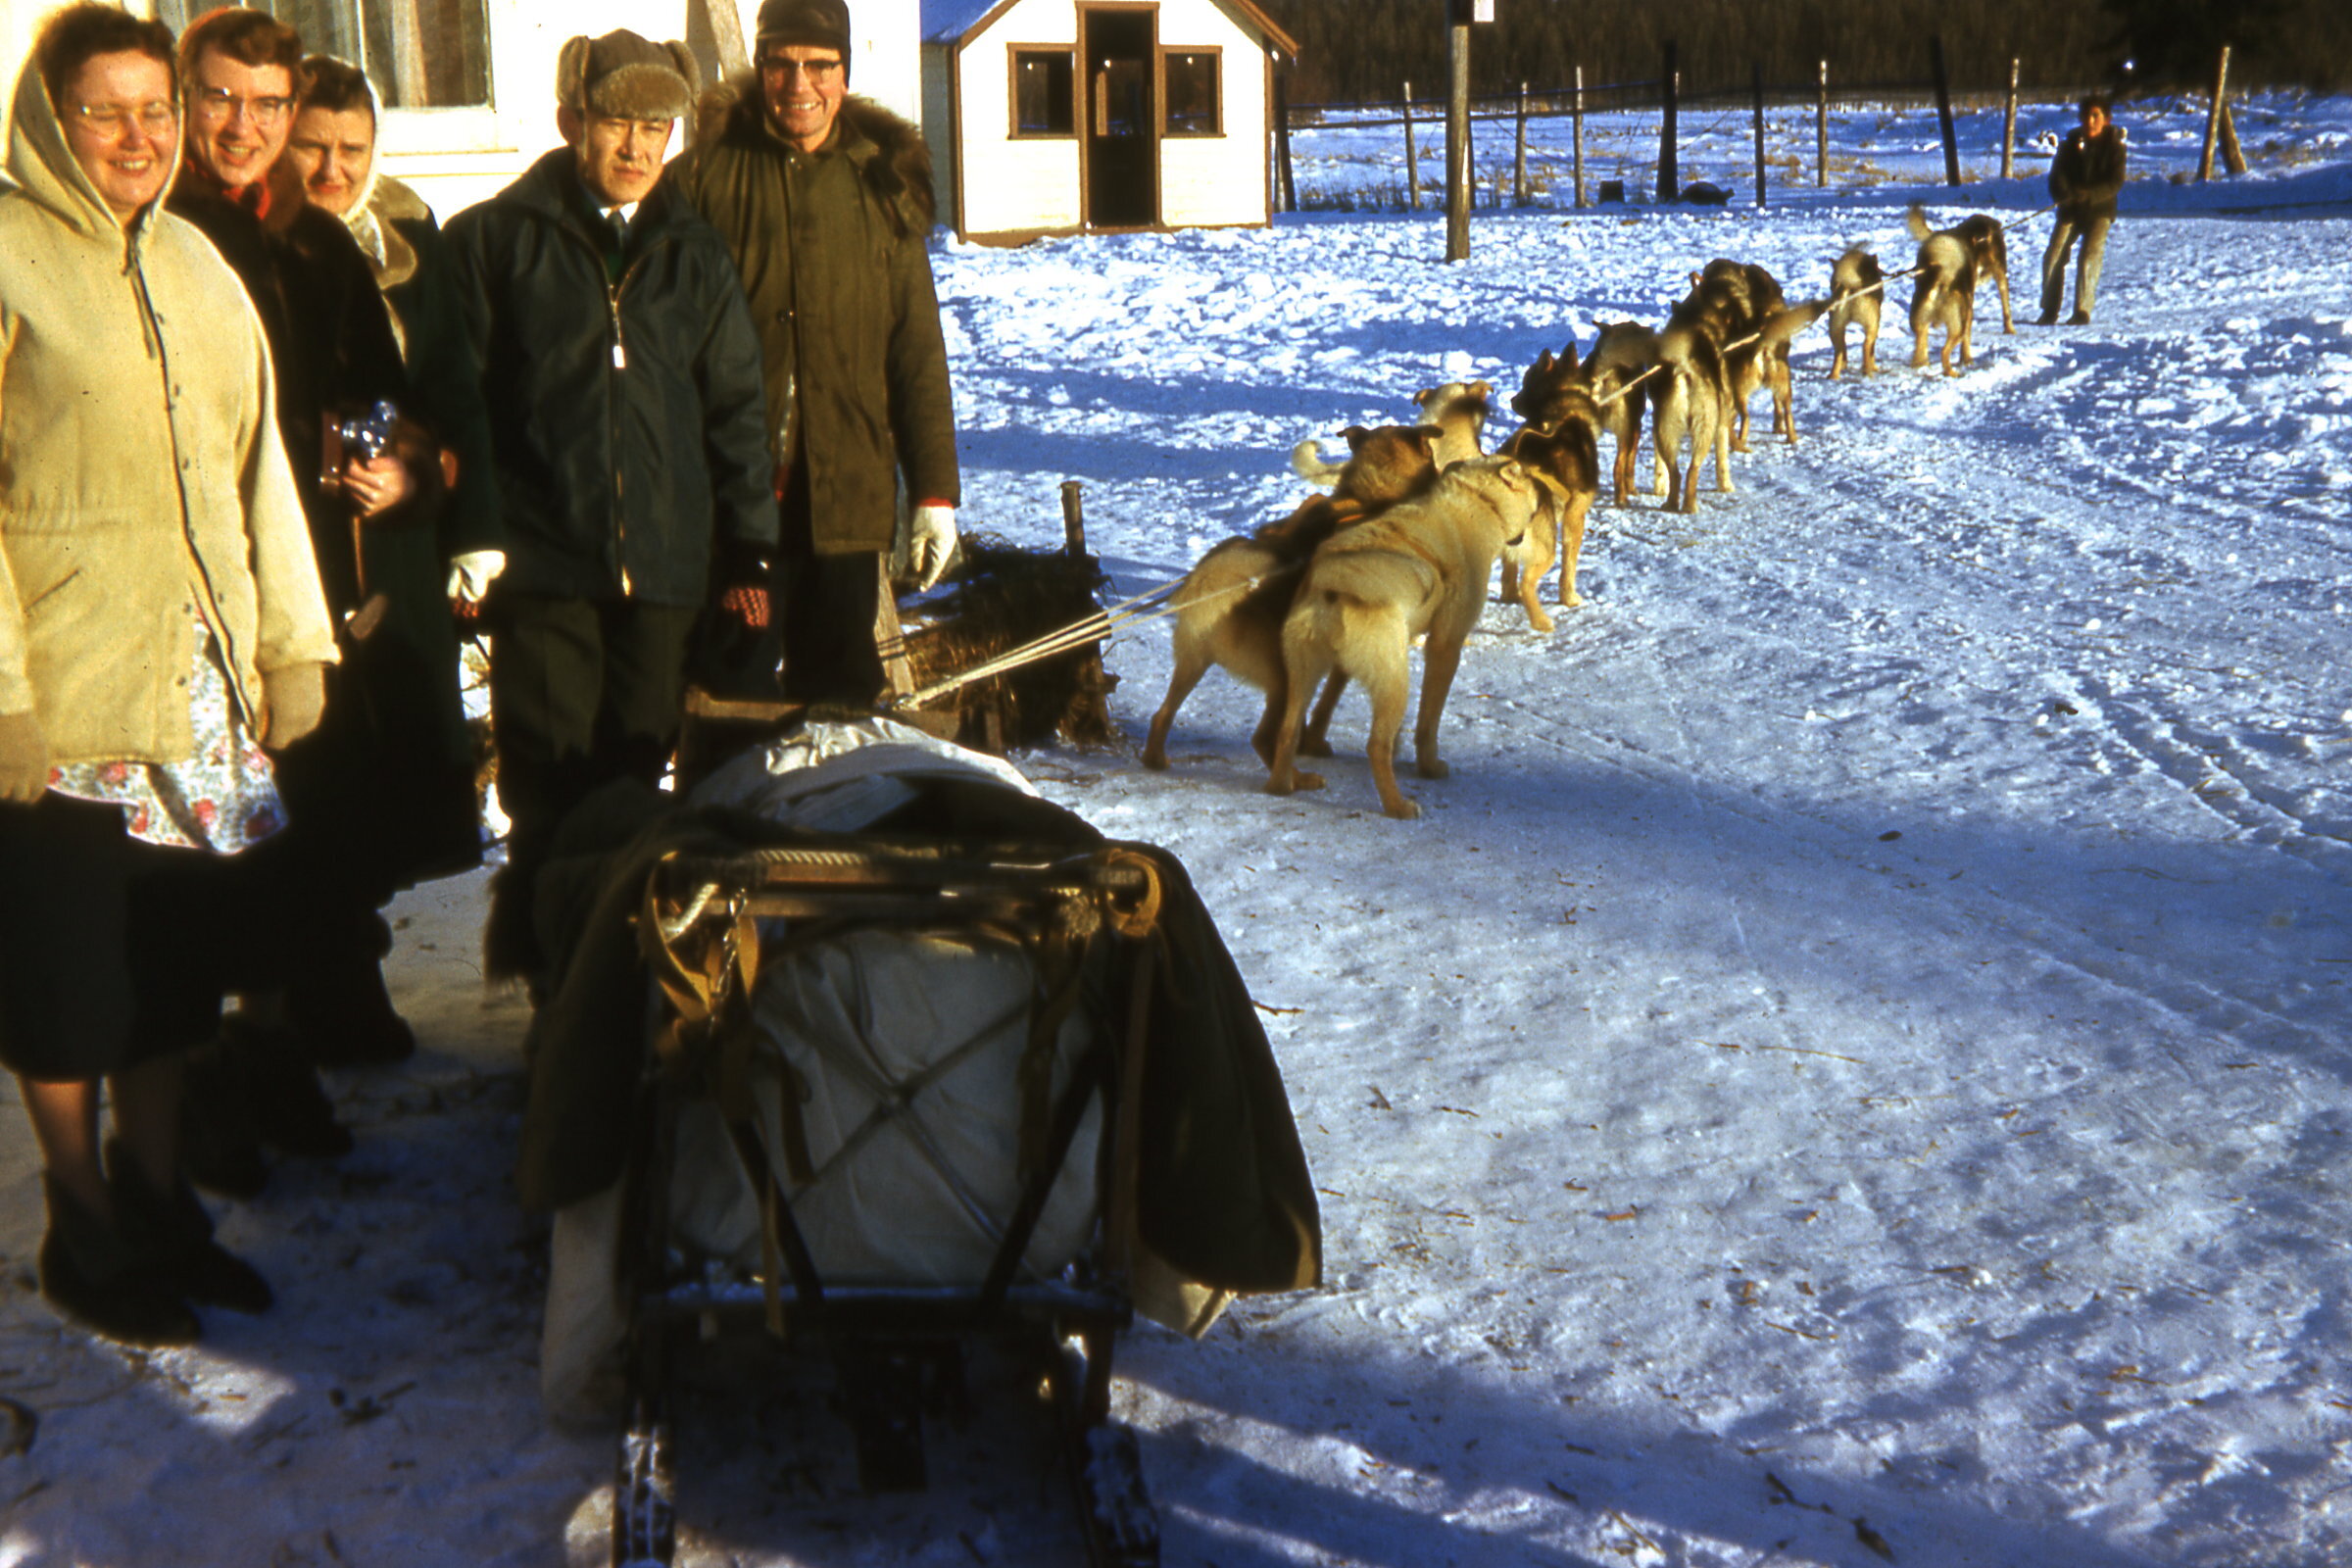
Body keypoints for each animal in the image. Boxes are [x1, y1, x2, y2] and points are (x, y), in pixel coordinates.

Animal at [1133, 429, 1439, 770]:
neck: (1364, 499)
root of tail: (1213, 589)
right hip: (1279, 679)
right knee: (1262, 736)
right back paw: (1296, 775)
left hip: (1192, 664)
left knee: (1163, 713)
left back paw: (1155, 758)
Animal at [1270, 453, 1543, 822]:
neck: (1477, 502)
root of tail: (1333, 585)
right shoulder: (1445, 645)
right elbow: (1428, 721)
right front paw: (1429, 766)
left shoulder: (1342, 668)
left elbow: (1327, 705)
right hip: (1394, 683)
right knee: (1376, 745)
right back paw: (1397, 805)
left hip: (1304, 676)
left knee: (1288, 730)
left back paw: (1283, 784)